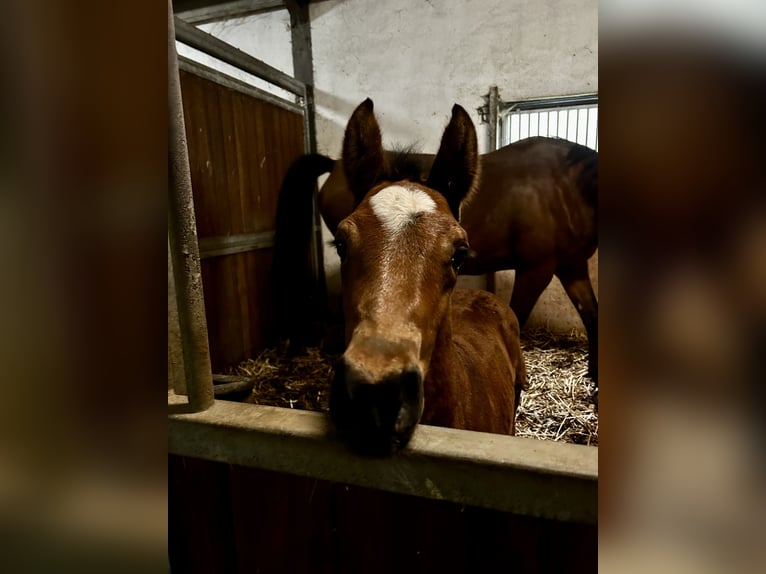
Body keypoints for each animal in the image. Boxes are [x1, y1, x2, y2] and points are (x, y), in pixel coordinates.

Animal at [274, 107, 600, 382]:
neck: (563, 188)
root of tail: (335, 166)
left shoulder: (572, 266)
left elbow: (592, 314)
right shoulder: (536, 269)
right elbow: (517, 317)